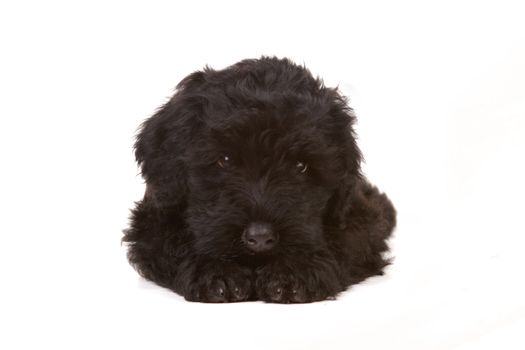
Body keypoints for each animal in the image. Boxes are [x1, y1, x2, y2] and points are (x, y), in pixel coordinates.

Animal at [123, 56, 396, 302]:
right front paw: (217, 271)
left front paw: (294, 270)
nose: (260, 237)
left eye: (300, 166)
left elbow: (341, 240)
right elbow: (172, 241)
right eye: (224, 159)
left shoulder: (360, 219)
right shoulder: (151, 222)